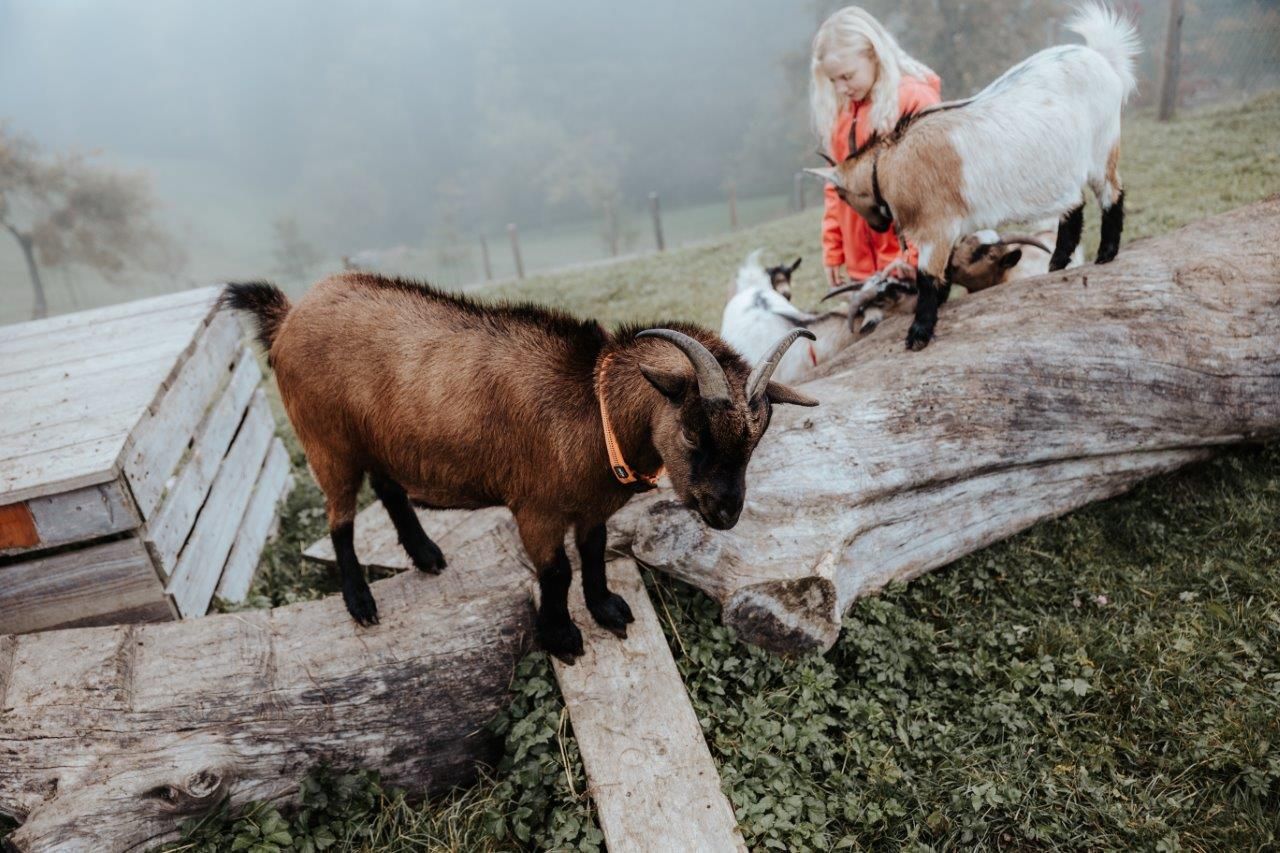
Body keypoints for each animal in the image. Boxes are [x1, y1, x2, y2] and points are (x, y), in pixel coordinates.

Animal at [221, 274, 817, 664]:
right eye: (694, 431)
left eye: (757, 439)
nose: (725, 513)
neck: (593, 409)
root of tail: (288, 315)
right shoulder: (536, 508)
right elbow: (556, 573)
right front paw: (562, 637)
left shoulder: (590, 507)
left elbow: (593, 553)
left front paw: (606, 609)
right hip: (327, 441)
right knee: (340, 518)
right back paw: (360, 601)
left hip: (380, 439)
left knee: (389, 490)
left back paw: (426, 554)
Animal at [806, 3, 1139, 350]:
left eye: (840, 194)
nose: (877, 227)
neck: (889, 164)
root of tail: (1101, 58)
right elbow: (945, 271)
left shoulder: (936, 226)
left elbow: (928, 276)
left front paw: (918, 334)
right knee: (1074, 204)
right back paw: (1057, 263)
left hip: (1102, 148)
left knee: (1112, 193)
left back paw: (1106, 253)